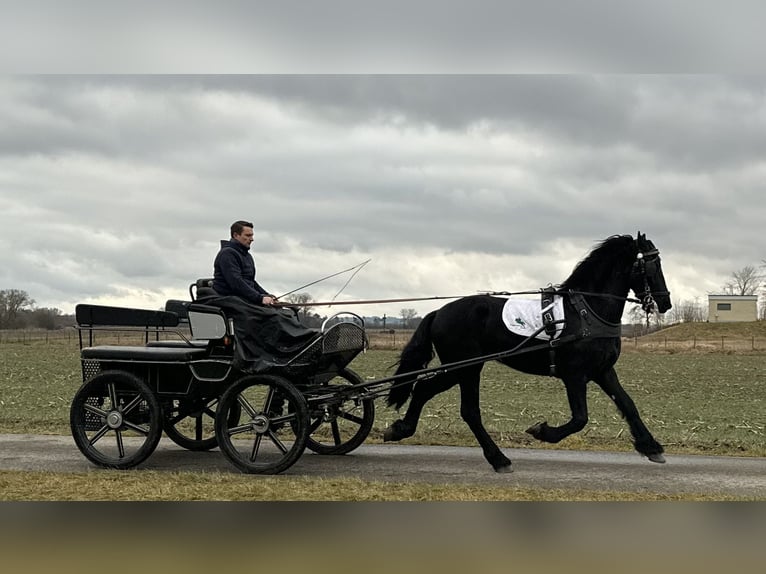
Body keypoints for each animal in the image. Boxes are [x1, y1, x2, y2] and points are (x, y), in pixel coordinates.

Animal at [384, 232, 672, 474]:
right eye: (653, 264)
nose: (666, 302)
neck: (587, 312)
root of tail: (439, 312)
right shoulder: (574, 375)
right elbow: (580, 418)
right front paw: (542, 431)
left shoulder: (603, 371)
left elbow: (627, 404)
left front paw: (651, 447)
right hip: (466, 367)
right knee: (468, 410)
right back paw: (498, 459)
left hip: (460, 368)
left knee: (424, 390)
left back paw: (401, 430)